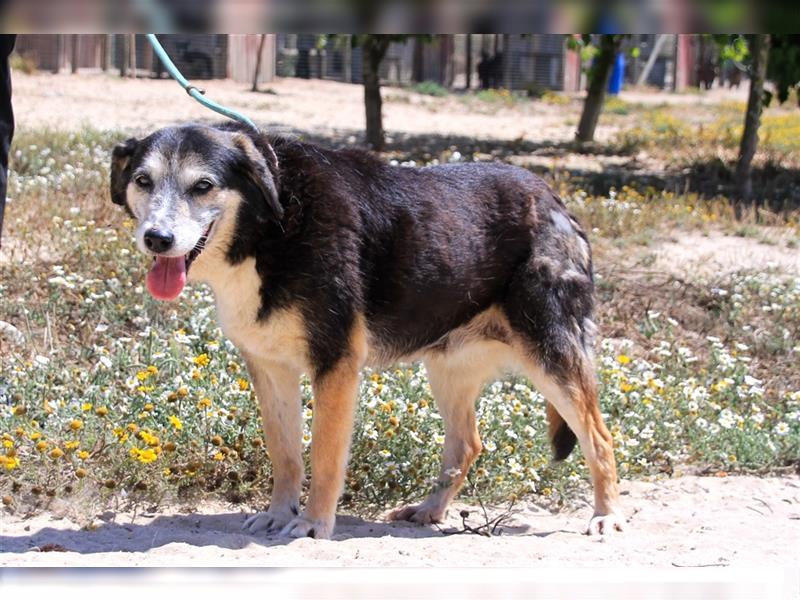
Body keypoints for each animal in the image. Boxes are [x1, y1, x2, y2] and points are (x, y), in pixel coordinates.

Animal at [109, 120, 624, 540]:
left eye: (203, 185)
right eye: (142, 180)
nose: (156, 239)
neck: (275, 222)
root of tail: (554, 199)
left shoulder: (336, 364)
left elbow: (324, 455)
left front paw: (313, 524)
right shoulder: (270, 369)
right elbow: (285, 453)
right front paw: (278, 513)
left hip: (551, 357)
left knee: (600, 437)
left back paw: (607, 516)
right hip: (449, 369)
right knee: (467, 444)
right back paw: (430, 510)